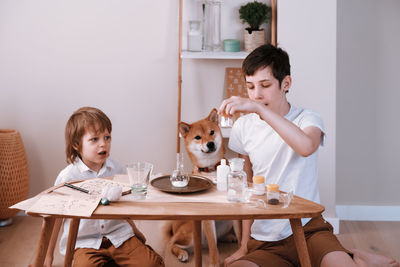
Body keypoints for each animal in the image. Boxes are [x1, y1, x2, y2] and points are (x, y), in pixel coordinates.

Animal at [162, 109, 239, 267]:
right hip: (191, 233)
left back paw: (229, 237)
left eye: (212, 132)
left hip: (226, 223)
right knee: (172, 244)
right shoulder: (208, 218)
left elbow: (241, 236)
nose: (210, 144)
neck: (211, 169)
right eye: (198, 137)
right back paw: (182, 253)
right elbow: (213, 245)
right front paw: (214, 263)